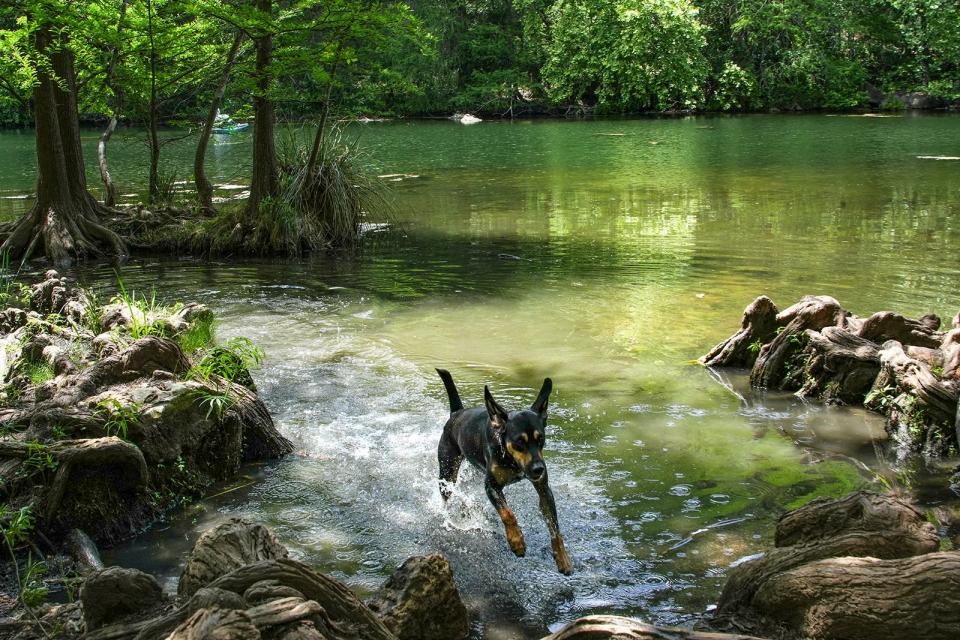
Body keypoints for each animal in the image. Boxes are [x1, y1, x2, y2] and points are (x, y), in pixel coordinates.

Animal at [438, 370, 572, 576]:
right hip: (447, 471)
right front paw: (517, 542)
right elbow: (508, 513)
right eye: (519, 442)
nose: (538, 469)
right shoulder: (491, 486)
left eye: (541, 439)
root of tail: (457, 413)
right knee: (447, 495)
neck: (511, 460)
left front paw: (563, 558)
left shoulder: (544, 489)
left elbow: (554, 527)